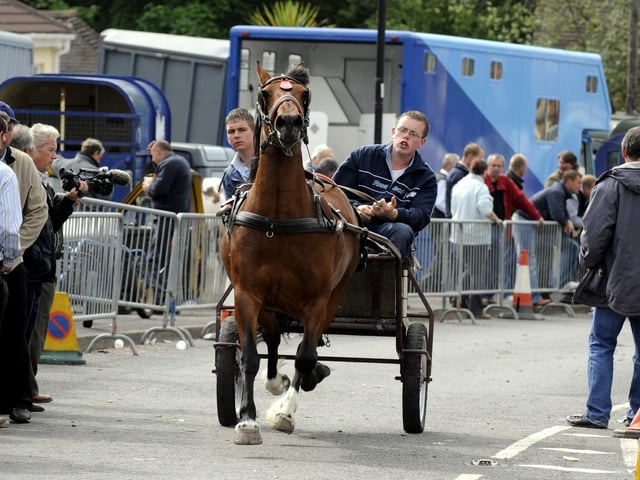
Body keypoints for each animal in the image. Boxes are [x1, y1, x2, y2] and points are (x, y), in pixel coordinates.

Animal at [220, 63, 362, 445]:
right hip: (269, 302)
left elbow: (305, 356)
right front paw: (247, 420)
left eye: (304, 94)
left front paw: (285, 411)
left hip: (334, 294)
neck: (278, 218)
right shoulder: (248, 293)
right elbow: (250, 356)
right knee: (270, 340)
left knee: (306, 352)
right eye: (265, 93)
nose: (288, 123)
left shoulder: (317, 299)